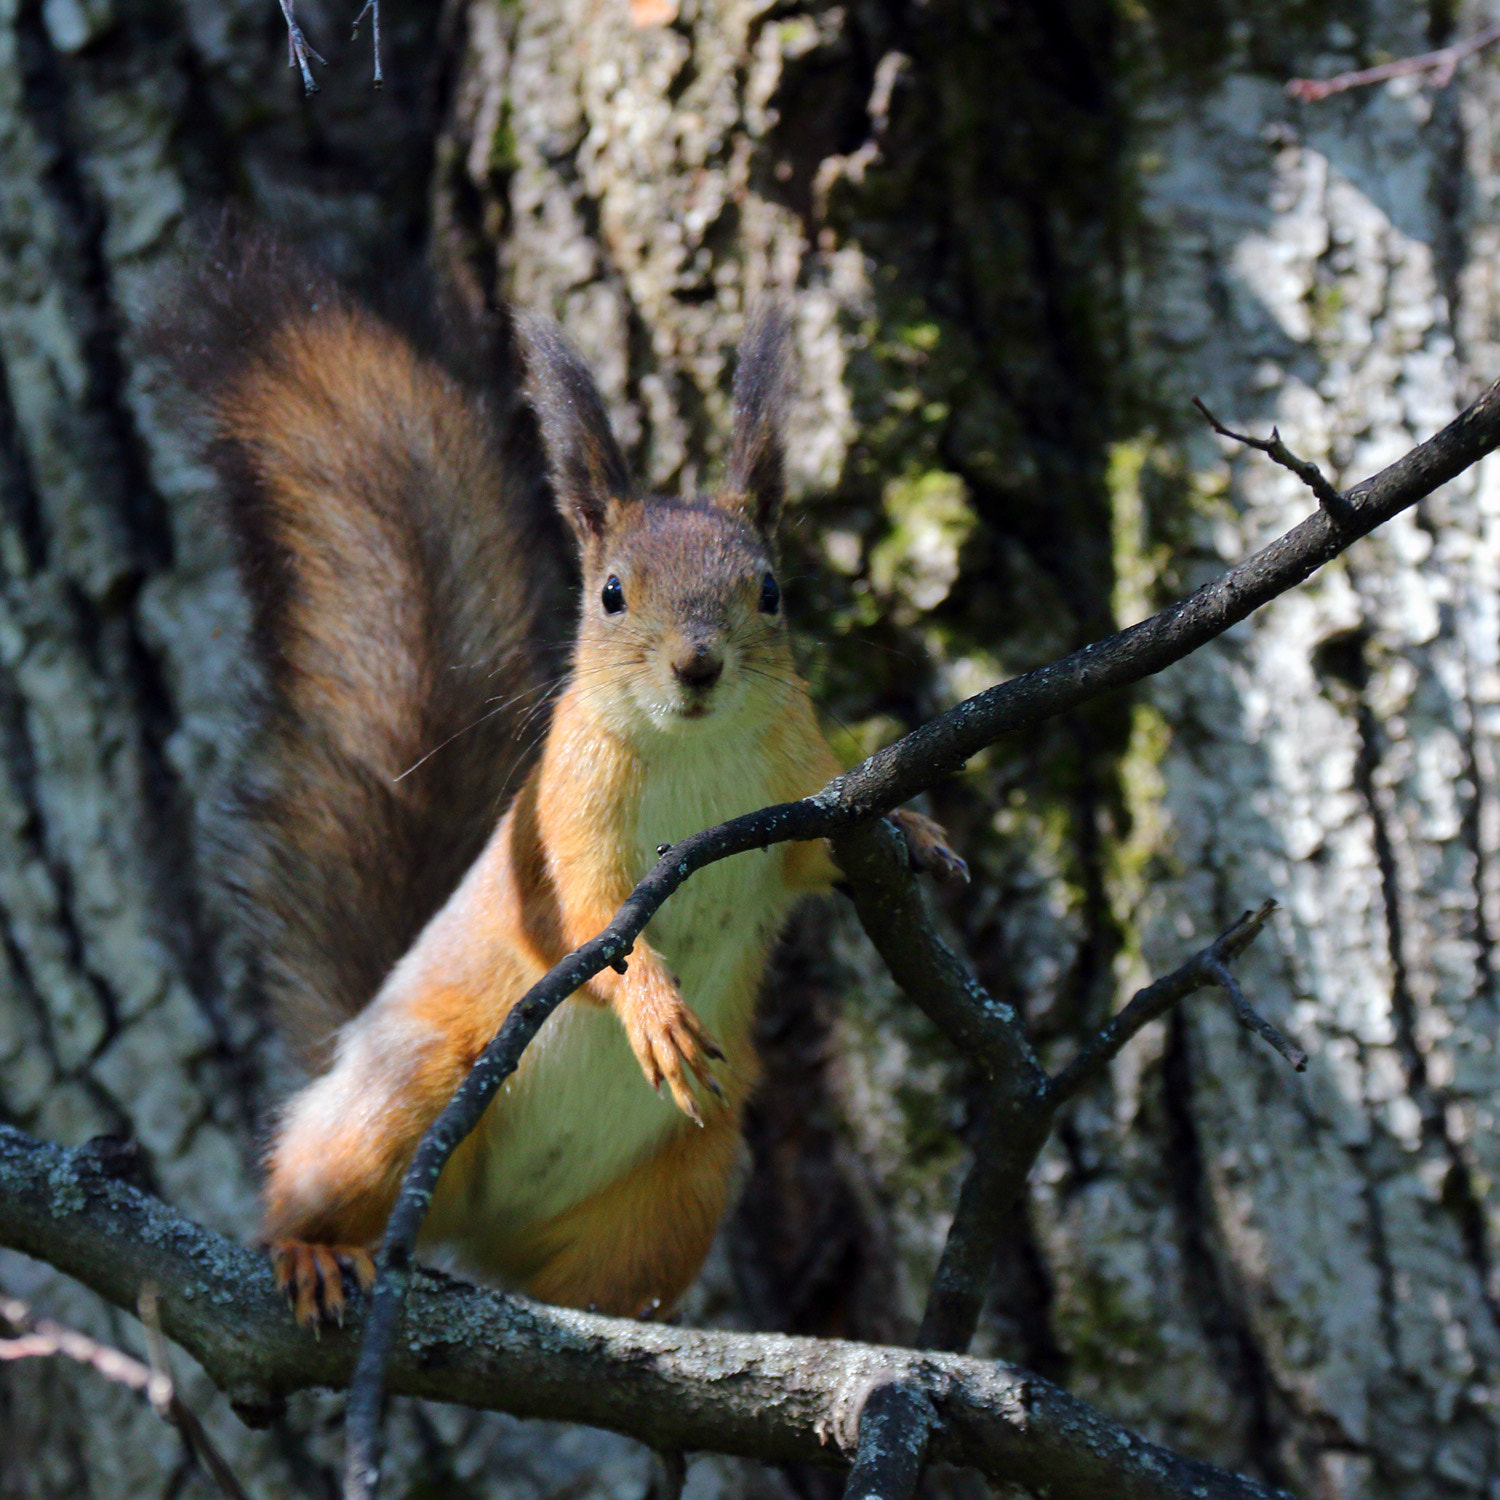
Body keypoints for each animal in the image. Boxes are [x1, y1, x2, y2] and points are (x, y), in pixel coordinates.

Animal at [175, 241, 965, 1327]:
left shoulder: (795, 788)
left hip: (682, 1181)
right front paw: (655, 1009)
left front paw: (921, 835)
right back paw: (310, 1251)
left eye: (771, 591)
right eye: (611, 594)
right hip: (404, 1092)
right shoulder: (561, 826)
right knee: (305, 1187)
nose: (698, 665)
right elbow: (591, 919)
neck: (693, 753)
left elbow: (815, 857)